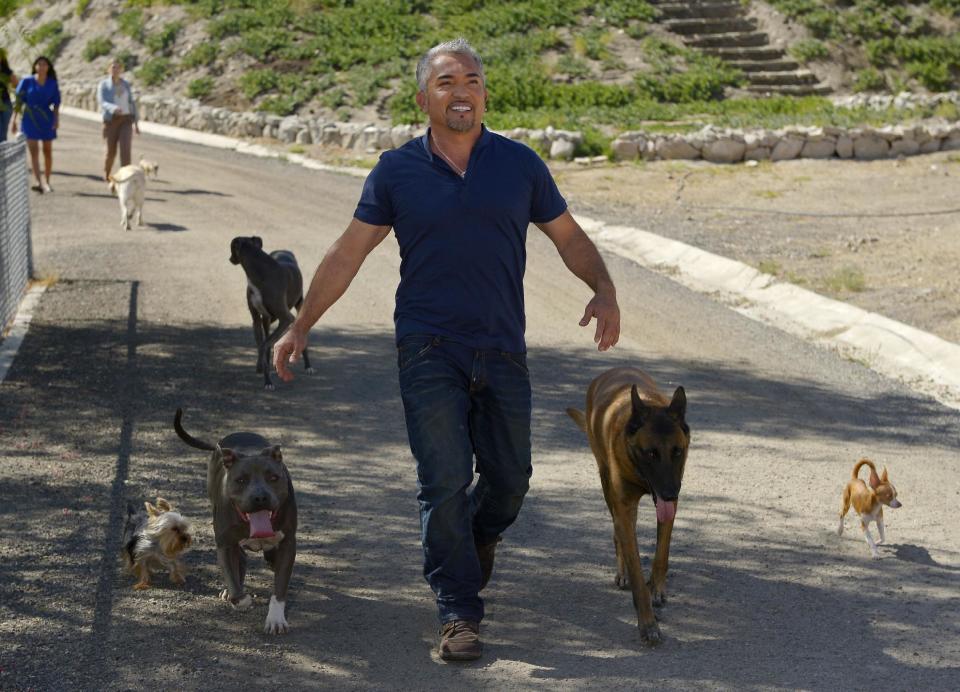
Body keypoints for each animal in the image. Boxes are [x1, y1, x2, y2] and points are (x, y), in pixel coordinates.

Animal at [172, 408, 298, 636]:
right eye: (241, 480)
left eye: (273, 477)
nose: (260, 497)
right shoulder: (225, 543)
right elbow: (234, 584)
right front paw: (240, 599)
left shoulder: (287, 544)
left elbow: (280, 587)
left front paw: (275, 619)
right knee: (240, 561)